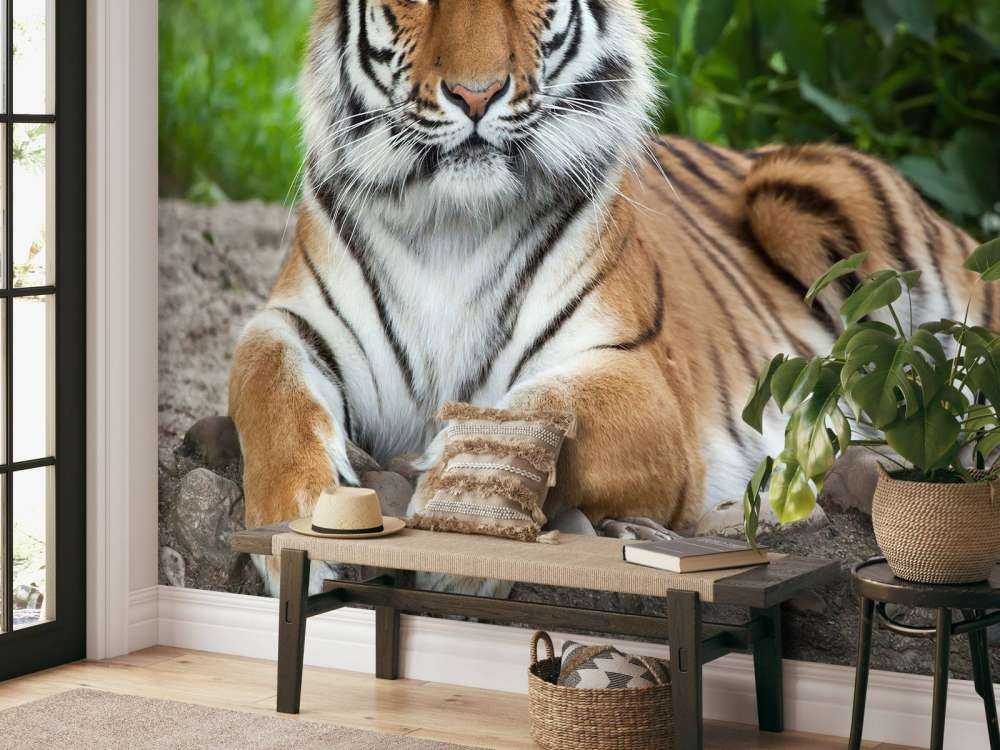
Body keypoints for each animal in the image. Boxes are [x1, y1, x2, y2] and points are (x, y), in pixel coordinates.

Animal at [228, 0, 996, 593]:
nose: (475, 95)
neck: (452, 222)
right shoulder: (289, 322)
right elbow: (266, 388)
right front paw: (300, 522)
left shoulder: (638, 374)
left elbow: (537, 408)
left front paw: (461, 525)